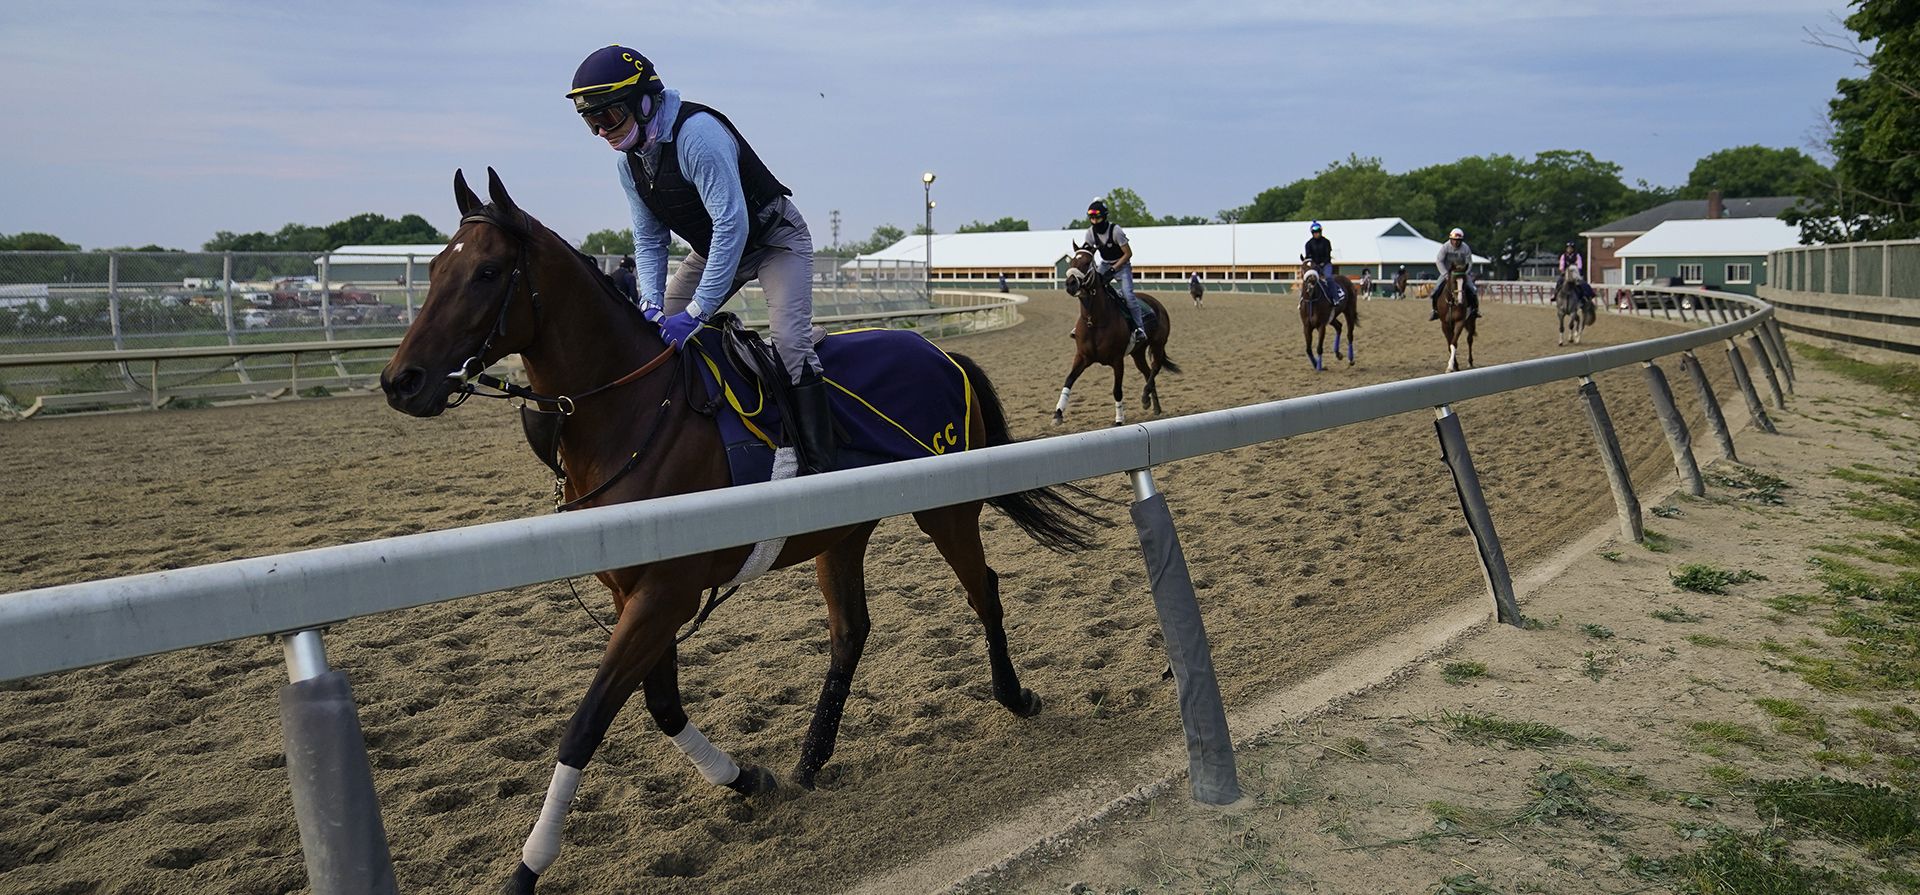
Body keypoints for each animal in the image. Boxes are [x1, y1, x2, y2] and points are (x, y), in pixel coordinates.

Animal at [379, 169, 1106, 893]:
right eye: (434, 268)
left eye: (487, 272)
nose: (400, 381)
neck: (635, 412)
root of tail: (938, 349)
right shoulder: (634, 590)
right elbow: (663, 704)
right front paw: (749, 777)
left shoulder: (665, 592)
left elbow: (587, 722)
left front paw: (528, 866)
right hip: (842, 531)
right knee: (851, 631)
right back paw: (810, 760)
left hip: (946, 509)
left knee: (983, 590)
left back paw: (1014, 695)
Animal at [1055, 245, 1180, 426]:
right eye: (1072, 261)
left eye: (1087, 262)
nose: (1070, 284)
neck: (1094, 321)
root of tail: (1157, 304)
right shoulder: (1082, 357)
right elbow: (1069, 380)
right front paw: (1058, 413)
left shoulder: (1117, 360)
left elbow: (1117, 390)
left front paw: (1119, 419)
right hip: (1137, 352)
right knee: (1147, 371)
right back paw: (1155, 406)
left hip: (1158, 344)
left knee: (1155, 367)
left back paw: (1145, 397)